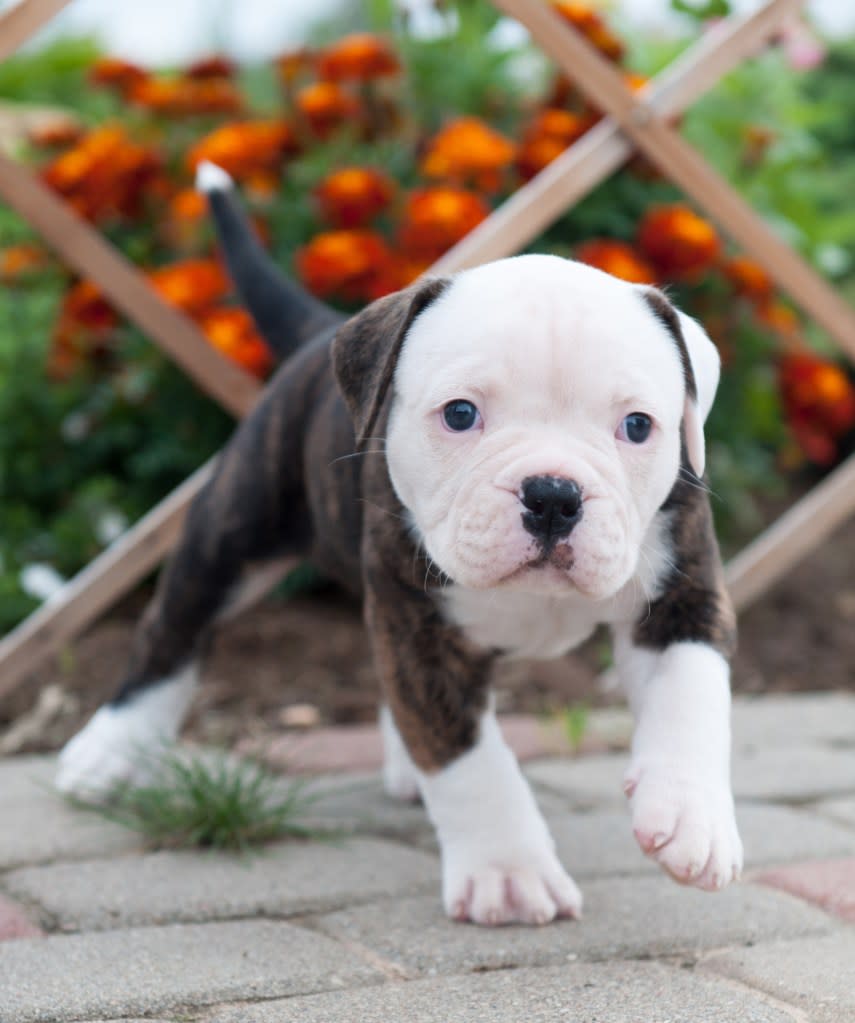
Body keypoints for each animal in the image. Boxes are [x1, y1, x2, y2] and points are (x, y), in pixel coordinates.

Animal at [58, 161, 740, 928]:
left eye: (637, 426)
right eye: (461, 414)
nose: (553, 495)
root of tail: (320, 331)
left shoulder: (684, 597)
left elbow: (691, 697)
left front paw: (692, 819)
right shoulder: (419, 629)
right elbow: (468, 757)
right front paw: (508, 872)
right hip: (232, 532)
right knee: (170, 631)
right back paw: (107, 750)